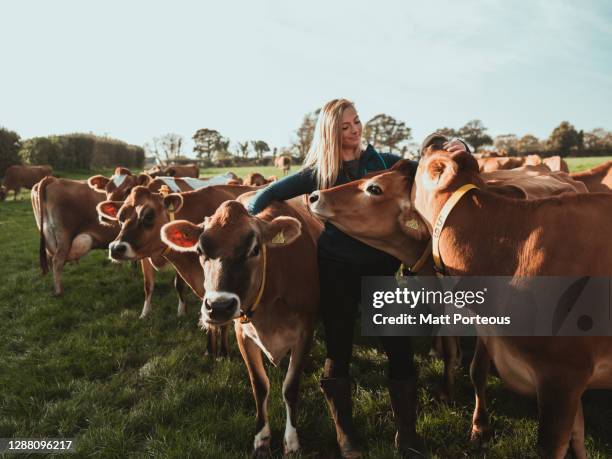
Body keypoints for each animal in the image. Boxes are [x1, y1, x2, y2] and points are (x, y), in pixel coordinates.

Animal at [160, 197, 320, 456]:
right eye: (199, 251)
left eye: (254, 249)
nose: (219, 306)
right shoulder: (242, 335)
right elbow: (260, 386)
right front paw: (261, 439)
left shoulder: (306, 331)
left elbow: (290, 387)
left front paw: (292, 441)